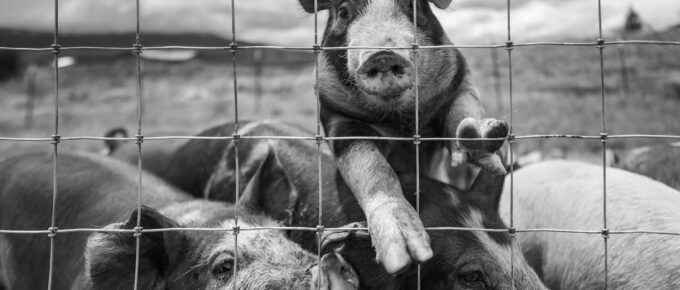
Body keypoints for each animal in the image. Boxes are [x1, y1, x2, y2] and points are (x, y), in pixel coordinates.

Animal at [298, 0, 510, 272]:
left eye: (414, 7)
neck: (402, 122)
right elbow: (371, 167)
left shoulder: (459, 78)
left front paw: (484, 136)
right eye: (344, 12)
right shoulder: (337, 117)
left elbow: (462, 113)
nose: (383, 55)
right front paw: (404, 256)